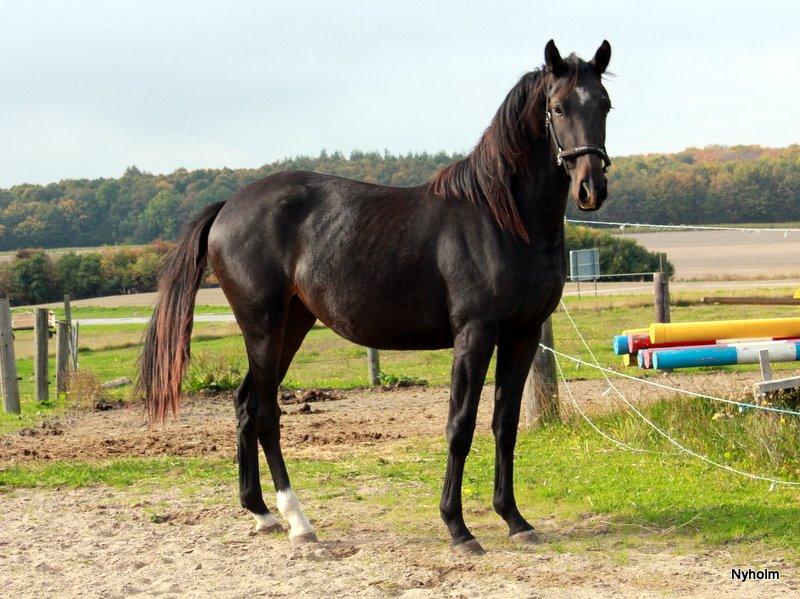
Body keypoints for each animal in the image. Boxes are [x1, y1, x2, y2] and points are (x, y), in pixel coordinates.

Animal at [139, 38, 612, 552]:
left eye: (604, 104)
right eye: (558, 107)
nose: (591, 188)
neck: (500, 217)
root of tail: (228, 206)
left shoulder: (523, 335)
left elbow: (504, 426)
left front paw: (515, 519)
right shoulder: (474, 334)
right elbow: (460, 426)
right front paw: (457, 527)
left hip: (291, 325)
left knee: (246, 404)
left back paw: (262, 512)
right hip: (262, 327)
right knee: (265, 413)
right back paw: (298, 521)